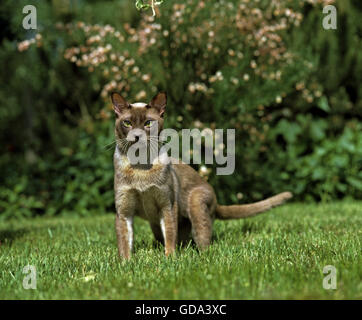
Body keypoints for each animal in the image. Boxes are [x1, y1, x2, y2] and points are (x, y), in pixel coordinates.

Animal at [110, 91, 292, 258]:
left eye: (148, 123)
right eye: (127, 123)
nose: (136, 136)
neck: (140, 166)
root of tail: (216, 200)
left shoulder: (167, 205)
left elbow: (170, 236)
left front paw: (169, 260)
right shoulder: (124, 211)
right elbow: (124, 243)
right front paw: (126, 264)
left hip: (196, 204)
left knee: (202, 241)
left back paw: (201, 256)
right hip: (156, 224)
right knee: (179, 239)